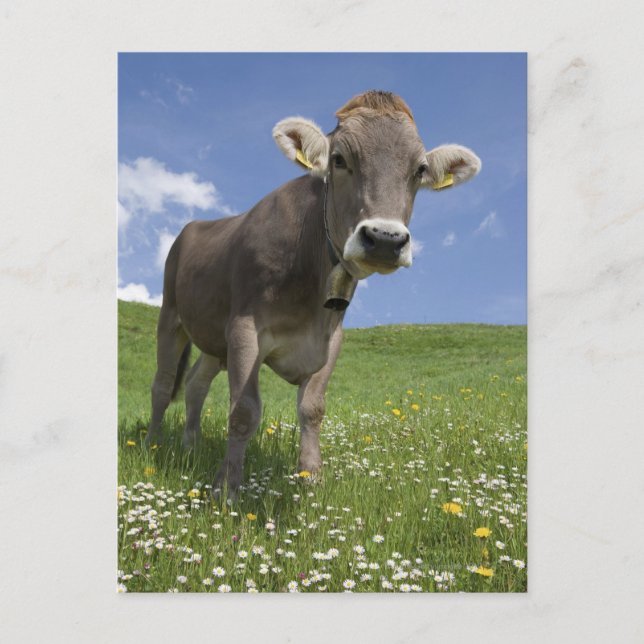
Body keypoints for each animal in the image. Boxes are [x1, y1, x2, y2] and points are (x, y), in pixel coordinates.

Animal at [146, 90, 481, 496]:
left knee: (195, 384)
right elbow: (243, 411)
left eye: (418, 169)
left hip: (212, 339)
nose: (385, 238)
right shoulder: (244, 328)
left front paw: (311, 481)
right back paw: (151, 443)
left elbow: (312, 408)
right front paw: (227, 489)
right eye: (339, 159)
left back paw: (191, 445)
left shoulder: (331, 338)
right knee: (163, 384)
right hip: (170, 315)